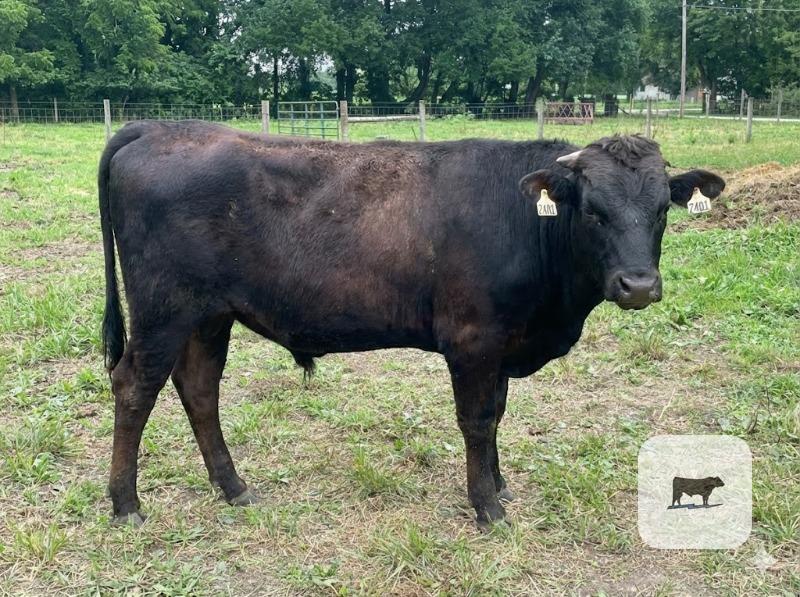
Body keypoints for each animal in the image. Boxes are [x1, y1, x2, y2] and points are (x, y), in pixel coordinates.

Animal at [99, 120, 725, 528]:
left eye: (662, 211)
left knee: (199, 389)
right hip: (163, 311)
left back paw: (233, 488)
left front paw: (498, 485)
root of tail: (159, 128)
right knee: (134, 387)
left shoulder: (501, 344)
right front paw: (486, 507)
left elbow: (496, 416)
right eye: (593, 211)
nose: (638, 285)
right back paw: (127, 505)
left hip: (208, 316)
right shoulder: (474, 339)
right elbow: (477, 420)